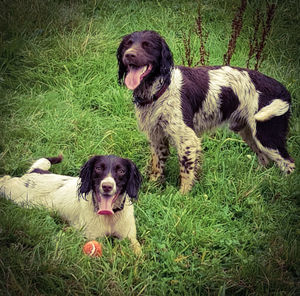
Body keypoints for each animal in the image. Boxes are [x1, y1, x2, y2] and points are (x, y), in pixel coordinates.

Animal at [0, 155, 143, 254]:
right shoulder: (94, 237)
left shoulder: (130, 237)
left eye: (121, 171)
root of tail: (35, 171)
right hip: (12, 193)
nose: (107, 186)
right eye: (98, 168)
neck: (109, 217)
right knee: (5, 178)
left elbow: (139, 253)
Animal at [117, 30, 296, 194]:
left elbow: (186, 171)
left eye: (147, 45)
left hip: (267, 134)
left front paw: (183, 197)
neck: (160, 89)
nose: (129, 55)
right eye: (128, 44)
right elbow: (157, 165)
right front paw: (152, 188)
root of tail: (282, 89)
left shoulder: (187, 139)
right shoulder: (157, 137)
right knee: (264, 159)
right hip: (248, 132)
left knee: (288, 163)